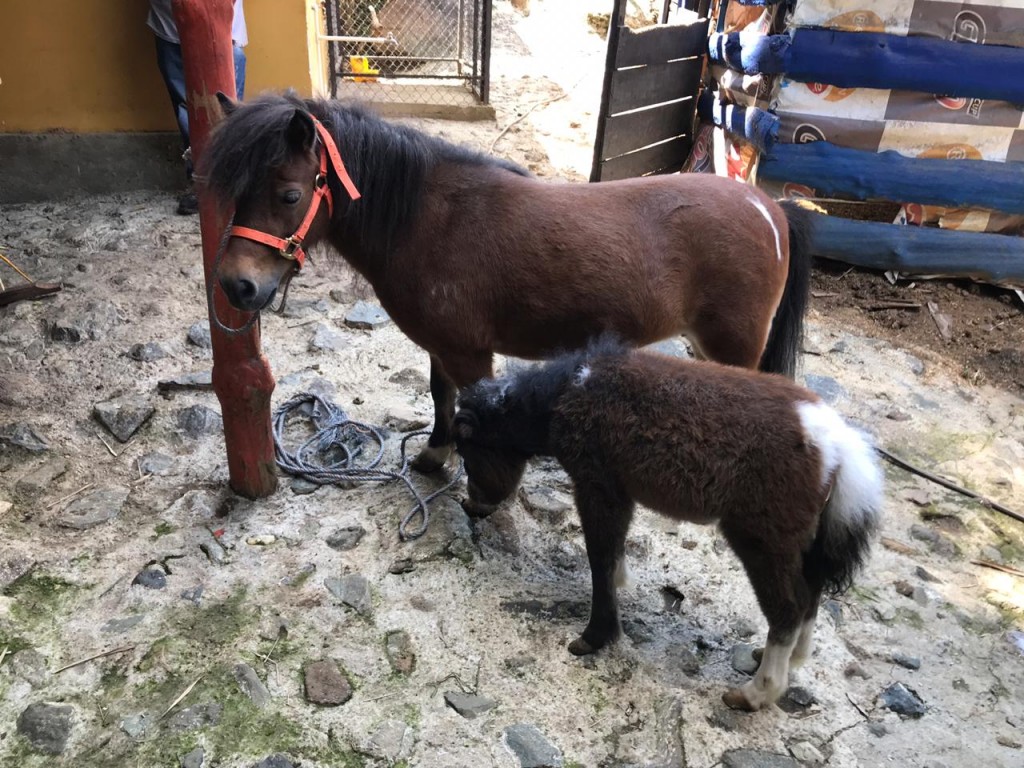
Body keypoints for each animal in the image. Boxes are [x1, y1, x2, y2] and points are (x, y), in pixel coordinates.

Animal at [204, 91, 815, 473]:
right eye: (235, 191)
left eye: (289, 194)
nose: (236, 286)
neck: (430, 218)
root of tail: (769, 207)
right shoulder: (444, 345)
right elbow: (442, 395)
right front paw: (435, 456)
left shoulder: (471, 353)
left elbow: (476, 407)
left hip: (734, 343)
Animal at [453, 337, 882, 711]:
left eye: (468, 451)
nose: (472, 505)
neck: (569, 393)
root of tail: (836, 441)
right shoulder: (619, 494)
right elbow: (611, 552)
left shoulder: (597, 486)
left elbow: (600, 557)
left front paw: (594, 638)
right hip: (801, 543)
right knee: (811, 595)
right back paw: (786, 661)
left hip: (762, 542)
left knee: (788, 610)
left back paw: (756, 693)